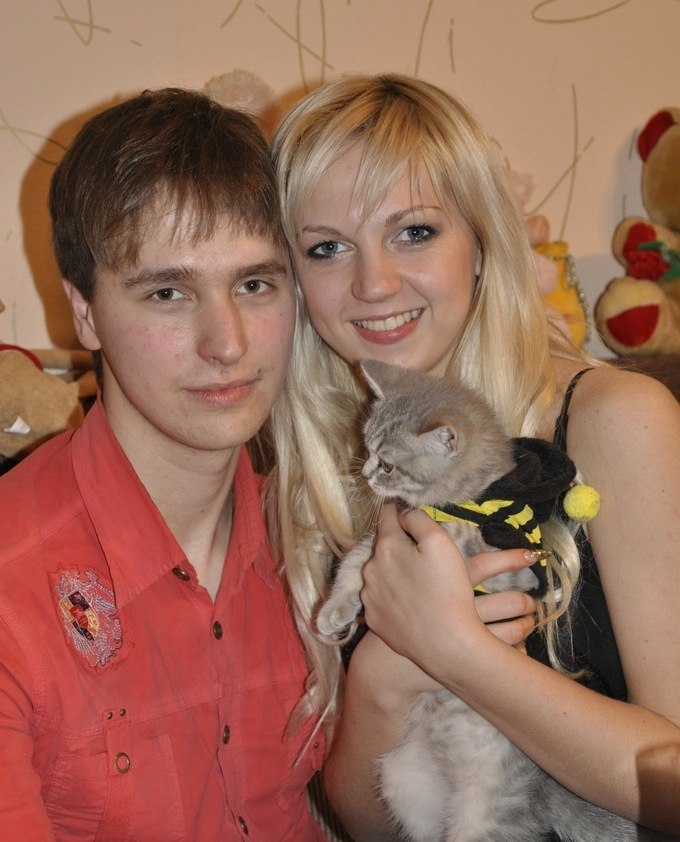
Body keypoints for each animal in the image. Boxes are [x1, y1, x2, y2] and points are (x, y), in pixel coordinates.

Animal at [316, 359, 642, 842]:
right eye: (368, 447)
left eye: (388, 464)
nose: (368, 473)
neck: (456, 504)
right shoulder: (384, 540)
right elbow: (356, 563)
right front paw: (333, 612)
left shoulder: (506, 563)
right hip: (402, 781)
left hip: (485, 814)